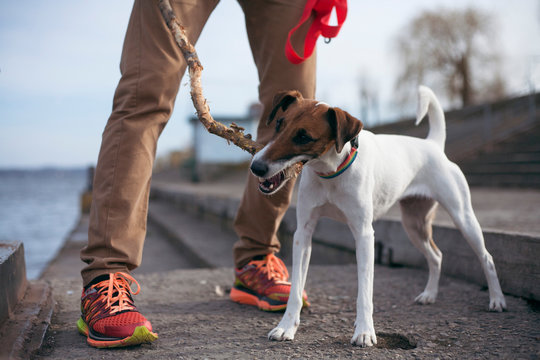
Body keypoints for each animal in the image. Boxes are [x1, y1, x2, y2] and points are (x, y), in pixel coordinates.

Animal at [251, 86, 508, 348]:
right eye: (279, 124)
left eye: (304, 137)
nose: (256, 167)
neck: (332, 171)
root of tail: (433, 145)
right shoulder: (303, 234)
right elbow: (295, 290)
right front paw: (286, 327)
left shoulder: (364, 235)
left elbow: (365, 291)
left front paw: (364, 331)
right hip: (413, 226)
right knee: (436, 256)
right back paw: (429, 295)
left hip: (462, 218)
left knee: (486, 258)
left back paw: (497, 300)